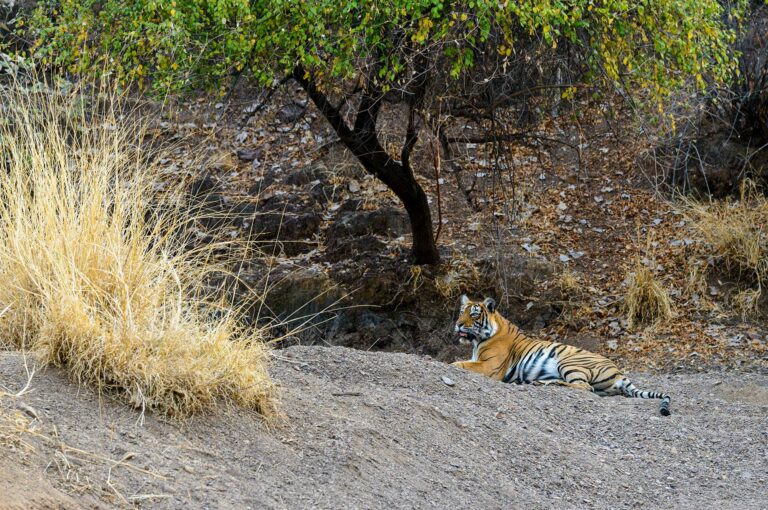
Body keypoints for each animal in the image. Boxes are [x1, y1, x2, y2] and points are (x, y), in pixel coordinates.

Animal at [450, 294, 672, 414]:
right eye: (461, 312)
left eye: (474, 314)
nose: (458, 324)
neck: (479, 340)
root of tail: (620, 373)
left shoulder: (489, 366)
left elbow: (460, 364)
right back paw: (541, 382)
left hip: (569, 362)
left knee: (584, 387)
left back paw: (547, 384)